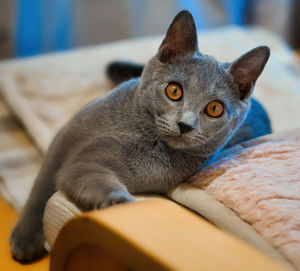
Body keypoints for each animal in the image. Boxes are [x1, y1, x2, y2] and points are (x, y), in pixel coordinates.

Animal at [10, 10, 270, 264]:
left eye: (214, 108)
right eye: (174, 91)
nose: (185, 124)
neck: (134, 127)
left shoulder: (98, 167)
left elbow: (83, 175)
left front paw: (121, 203)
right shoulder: (64, 138)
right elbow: (41, 187)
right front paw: (25, 240)